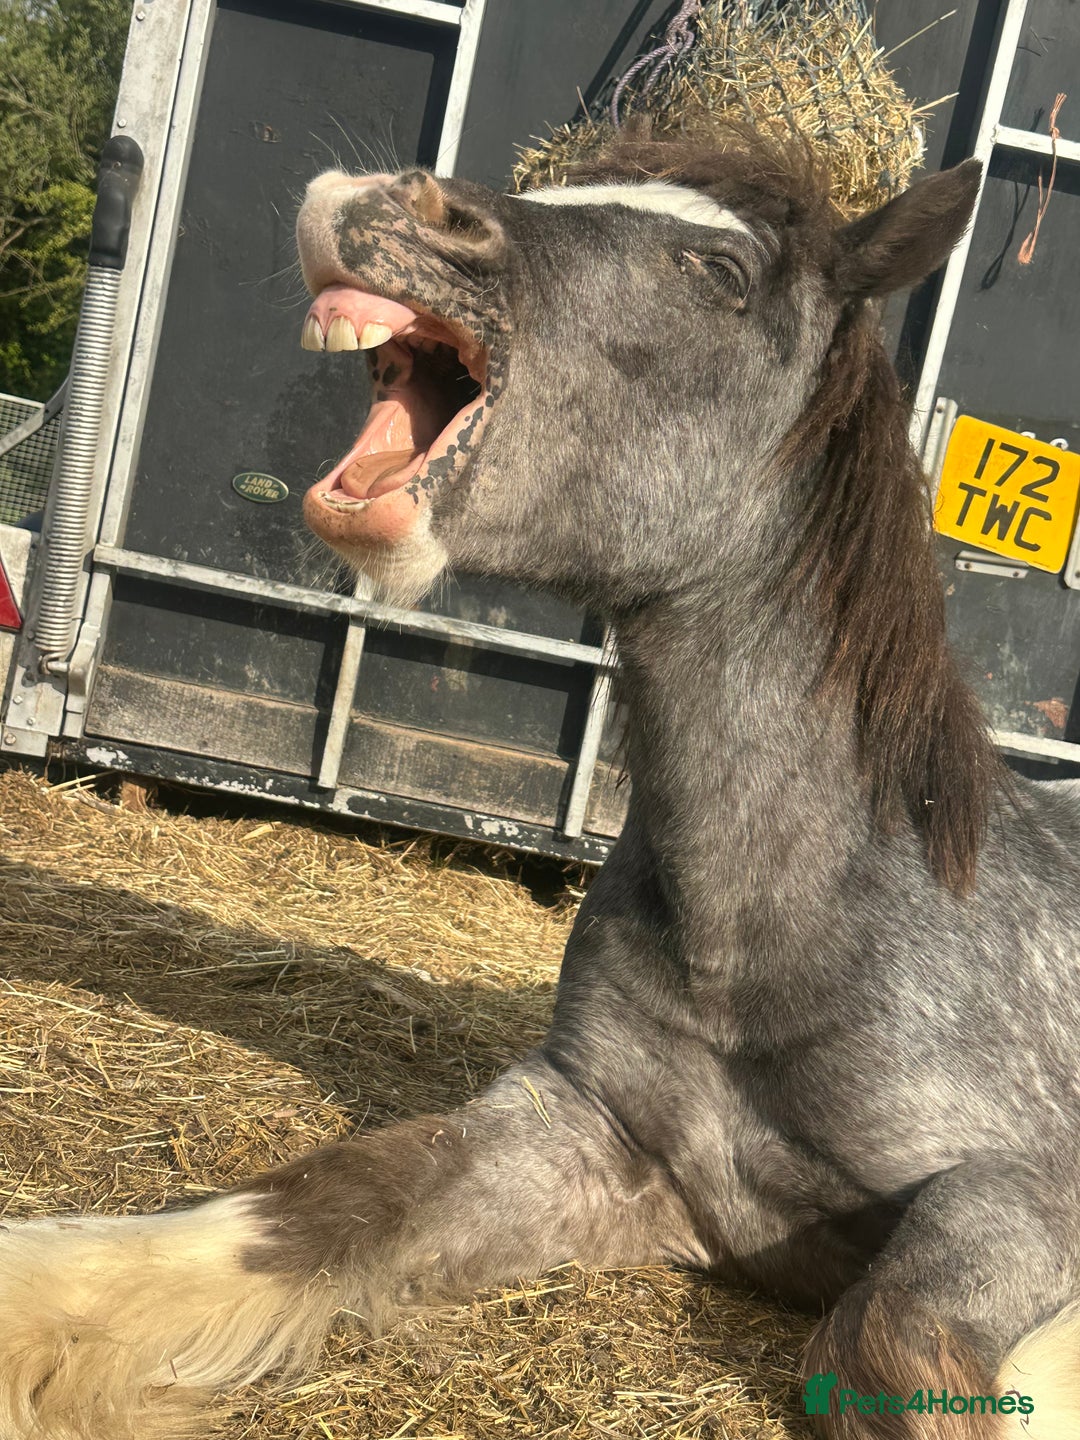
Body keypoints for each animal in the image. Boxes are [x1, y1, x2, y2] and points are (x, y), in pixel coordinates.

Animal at [2, 128, 1079, 1440]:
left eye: (721, 272)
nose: (383, 203)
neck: (777, 931)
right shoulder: (583, 1134)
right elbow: (320, 1200)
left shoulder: (1017, 1197)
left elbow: (889, 1346)